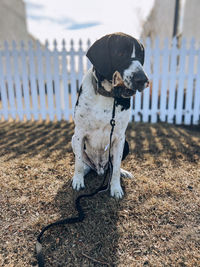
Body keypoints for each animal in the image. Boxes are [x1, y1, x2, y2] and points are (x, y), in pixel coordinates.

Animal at [71, 32, 148, 199]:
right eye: (121, 53)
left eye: (140, 55)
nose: (143, 80)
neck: (106, 95)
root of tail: (100, 168)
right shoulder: (79, 133)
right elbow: (78, 163)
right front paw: (78, 180)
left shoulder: (119, 137)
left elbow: (117, 166)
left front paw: (116, 188)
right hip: (73, 140)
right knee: (85, 163)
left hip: (126, 144)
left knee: (112, 167)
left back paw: (122, 172)